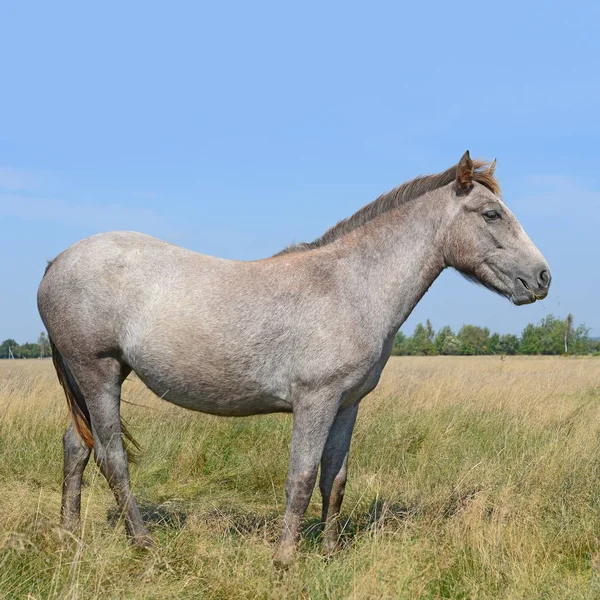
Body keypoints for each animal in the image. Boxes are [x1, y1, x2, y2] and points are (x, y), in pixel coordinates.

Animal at [37, 152, 552, 564]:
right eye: (491, 214)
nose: (543, 278)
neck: (351, 286)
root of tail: (56, 262)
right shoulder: (314, 401)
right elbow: (301, 477)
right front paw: (285, 558)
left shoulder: (346, 404)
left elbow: (334, 479)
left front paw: (328, 552)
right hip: (99, 373)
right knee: (111, 457)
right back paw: (142, 543)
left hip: (91, 383)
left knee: (75, 446)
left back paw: (67, 536)